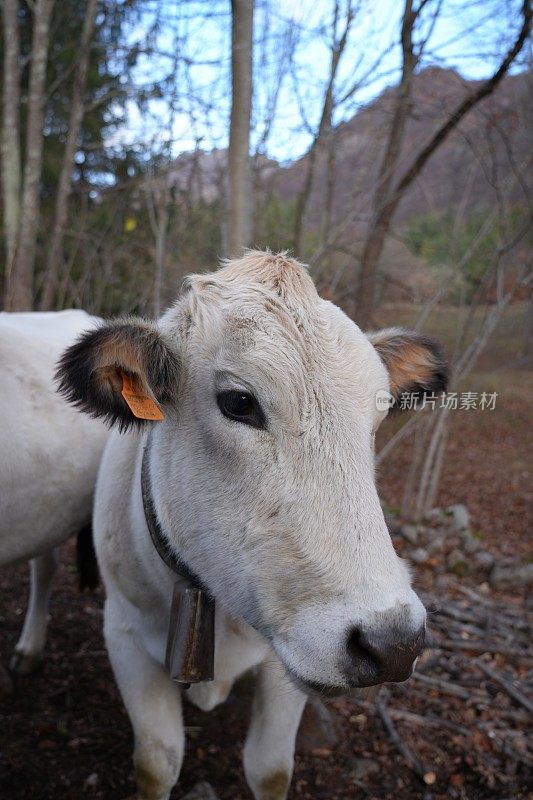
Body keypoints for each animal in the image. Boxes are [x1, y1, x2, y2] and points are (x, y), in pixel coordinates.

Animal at [57, 253, 448, 800]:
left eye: (382, 410)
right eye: (238, 402)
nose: (393, 642)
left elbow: (270, 768)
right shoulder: (124, 633)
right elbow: (156, 763)